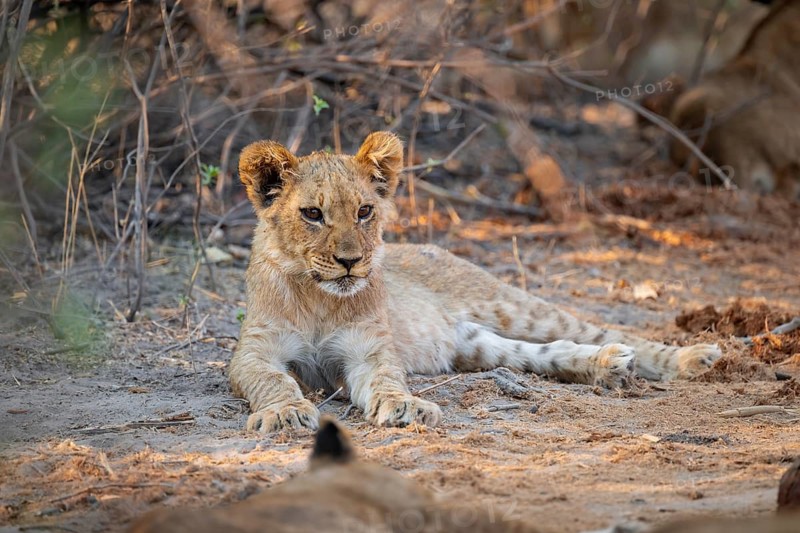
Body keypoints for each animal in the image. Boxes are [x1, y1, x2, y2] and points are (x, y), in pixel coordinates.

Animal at [229, 131, 721, 432]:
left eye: (364, 211)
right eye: (312, 214)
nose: (350, 262)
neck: (319, 297)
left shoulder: (368, 350)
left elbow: (387, 378)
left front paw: (406, 406)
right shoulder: (252, 352)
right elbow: (272, 381)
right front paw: (286, 413)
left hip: (510, 304)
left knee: (601, 330)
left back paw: (693, 358)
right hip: (475, 345)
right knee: (544, 353)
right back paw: (606, 365)